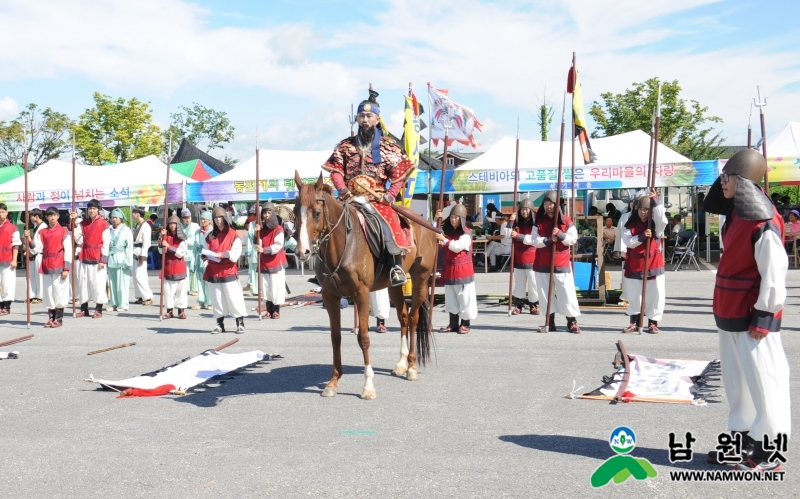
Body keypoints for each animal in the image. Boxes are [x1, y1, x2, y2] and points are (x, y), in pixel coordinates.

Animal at [296, 172, 438, 398]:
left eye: (317, 213)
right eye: (294, 213)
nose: (303, 252)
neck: (342, 246)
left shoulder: (361, 294)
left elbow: (363, 338)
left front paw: (368, 386)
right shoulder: (330, 296)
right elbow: (335, 337)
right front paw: (333, 382)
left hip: (421, 277)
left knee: (414, 318)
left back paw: (412, 367)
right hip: (393, 285)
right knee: (404, 317)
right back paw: (401, 364)